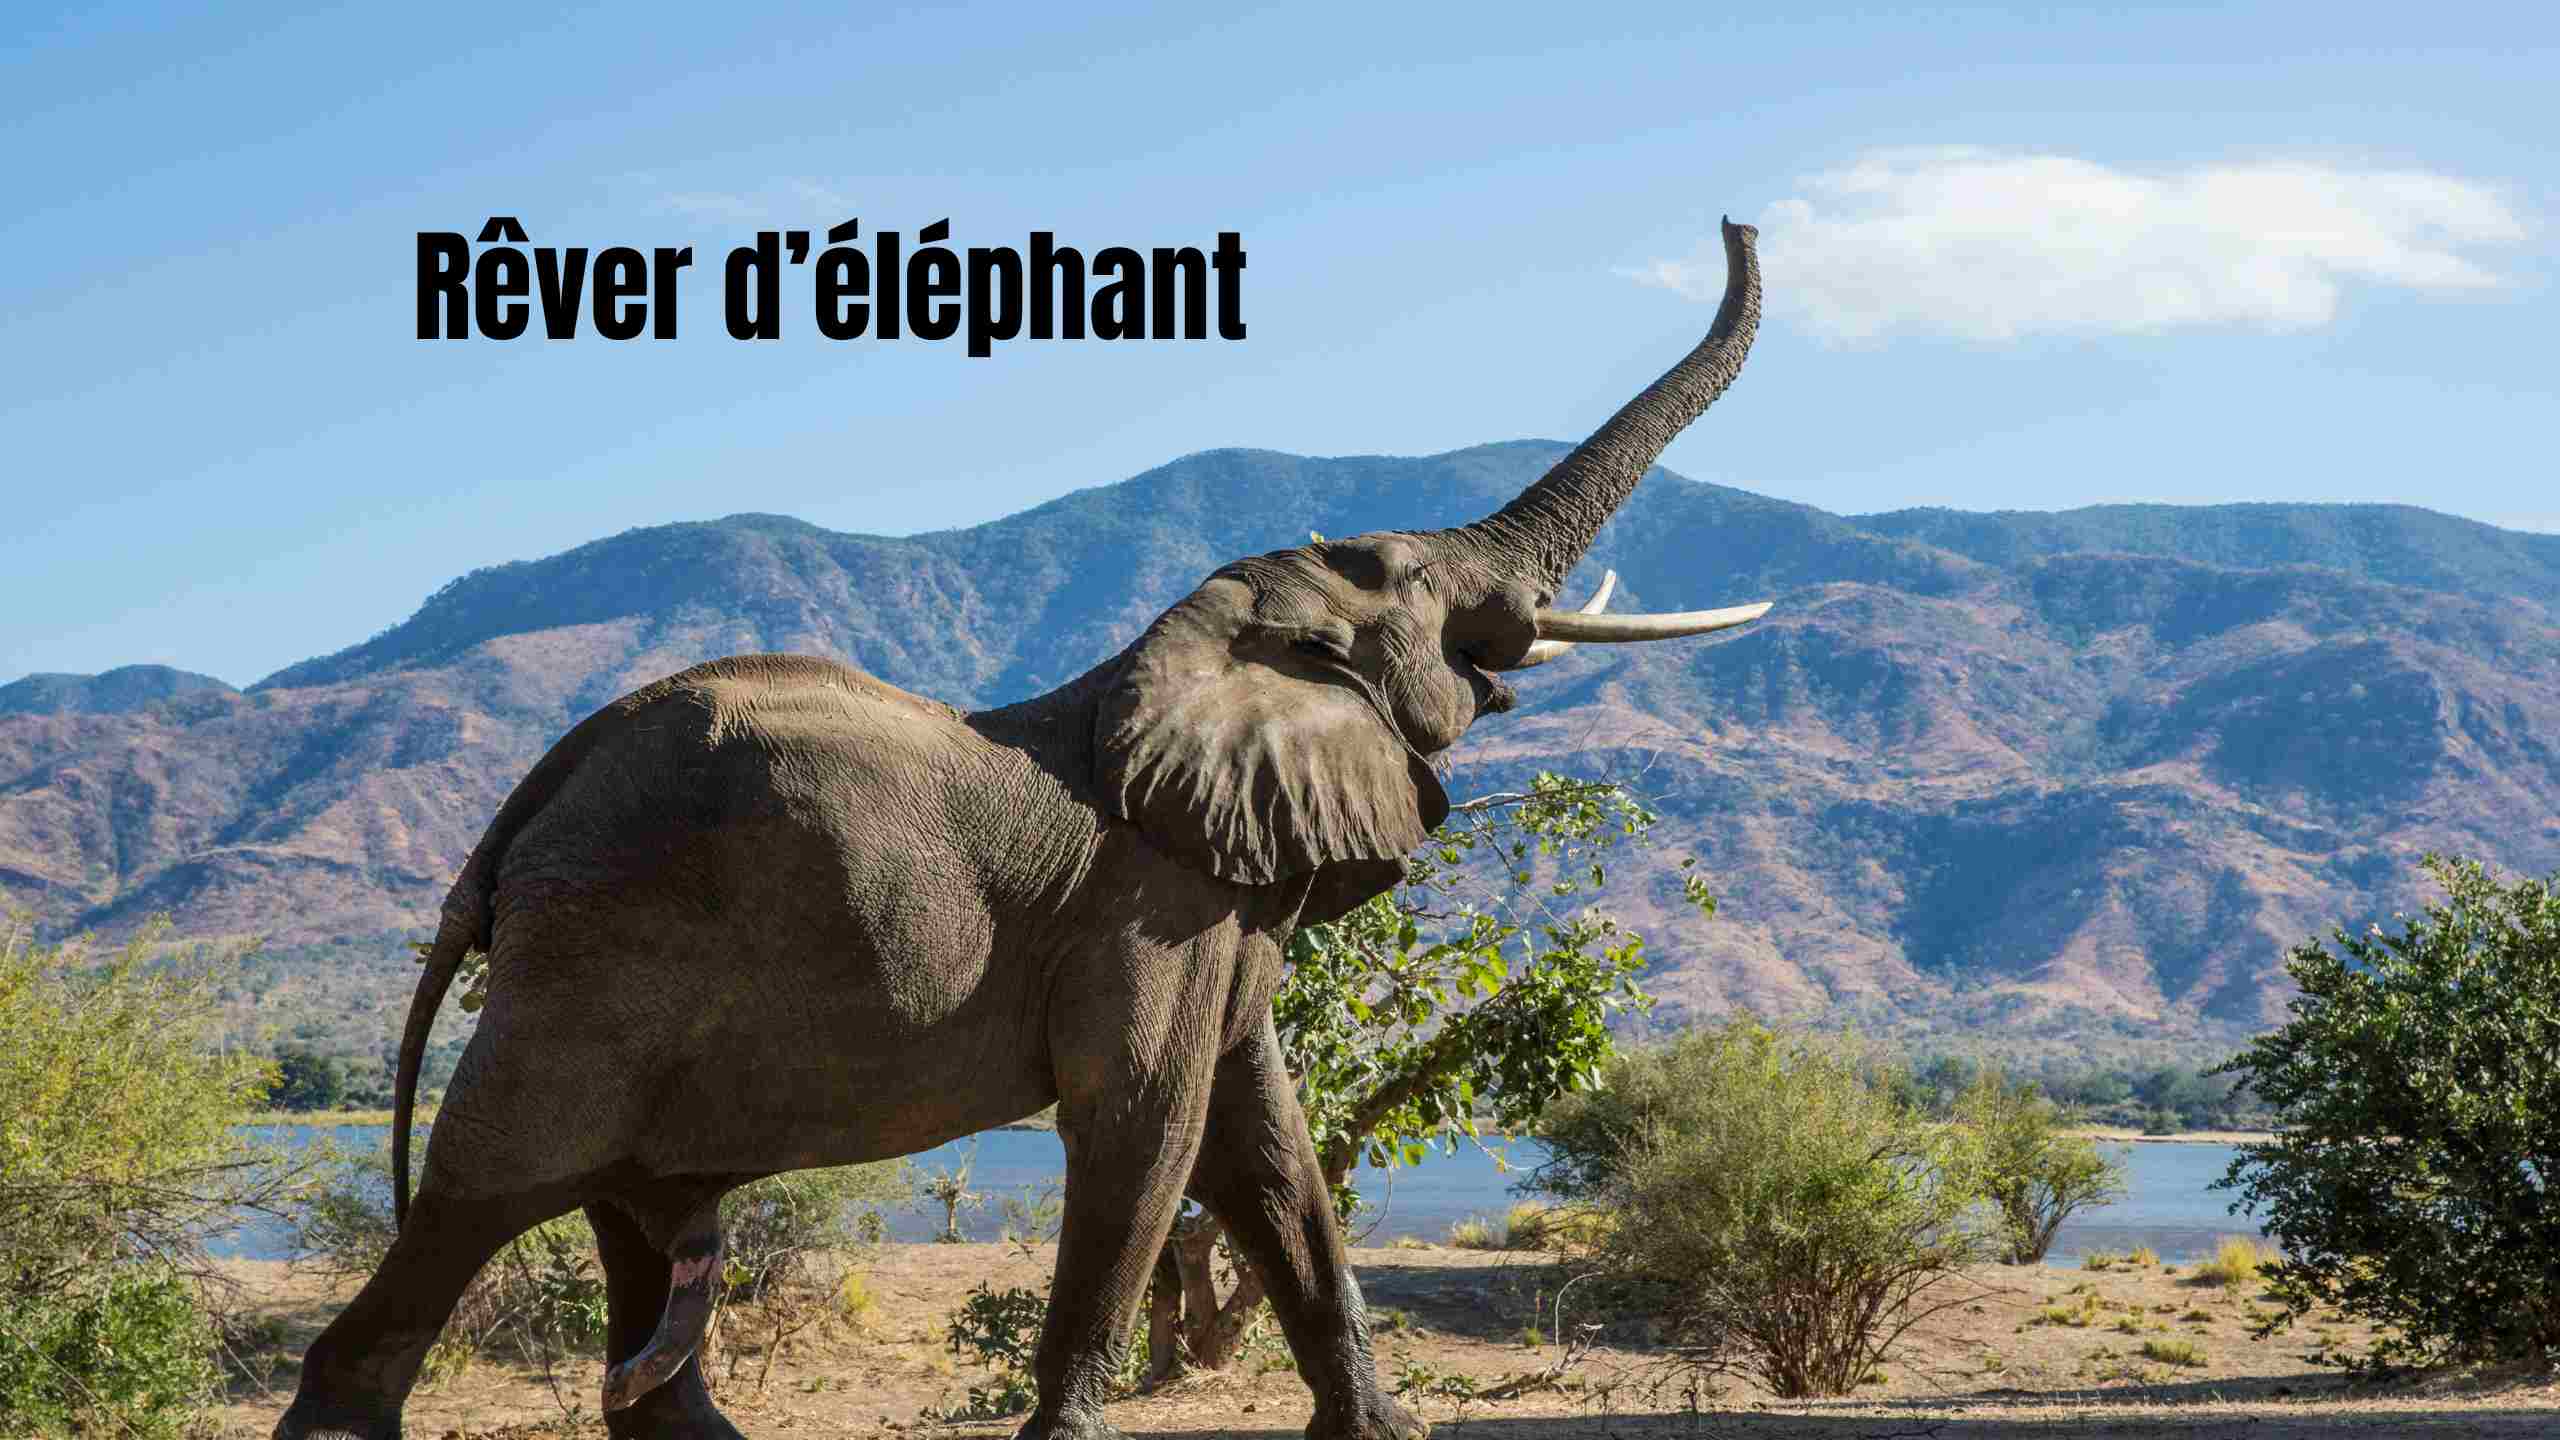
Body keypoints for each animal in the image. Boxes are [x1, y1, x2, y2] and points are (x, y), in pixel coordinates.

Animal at [274, 218, 1767, 1440]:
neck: (1185, 649)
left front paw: (1377, 1433)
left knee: (638, 1242)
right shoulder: (1151, 906)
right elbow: (1148, 1127)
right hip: (593, 968)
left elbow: (1266, 1147)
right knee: (481, 1202)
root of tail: (521, 810)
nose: (1738, 220)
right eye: (1411, 579)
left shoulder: (1219, 903)